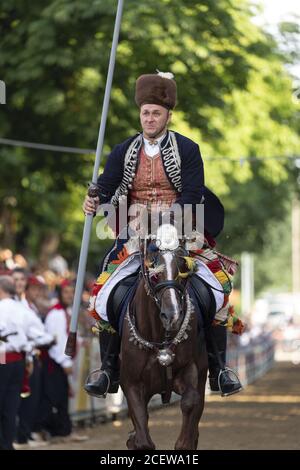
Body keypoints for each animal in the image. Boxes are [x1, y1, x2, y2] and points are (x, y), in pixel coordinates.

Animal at [119, 229, 209, 452]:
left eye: (183, 267)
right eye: (154, 270)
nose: (172, 315)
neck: (159, 338)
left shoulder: (190, 369)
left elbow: (190, 401)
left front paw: (184, 442)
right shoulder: (131, 382)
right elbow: (142, 435)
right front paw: (135, 440)